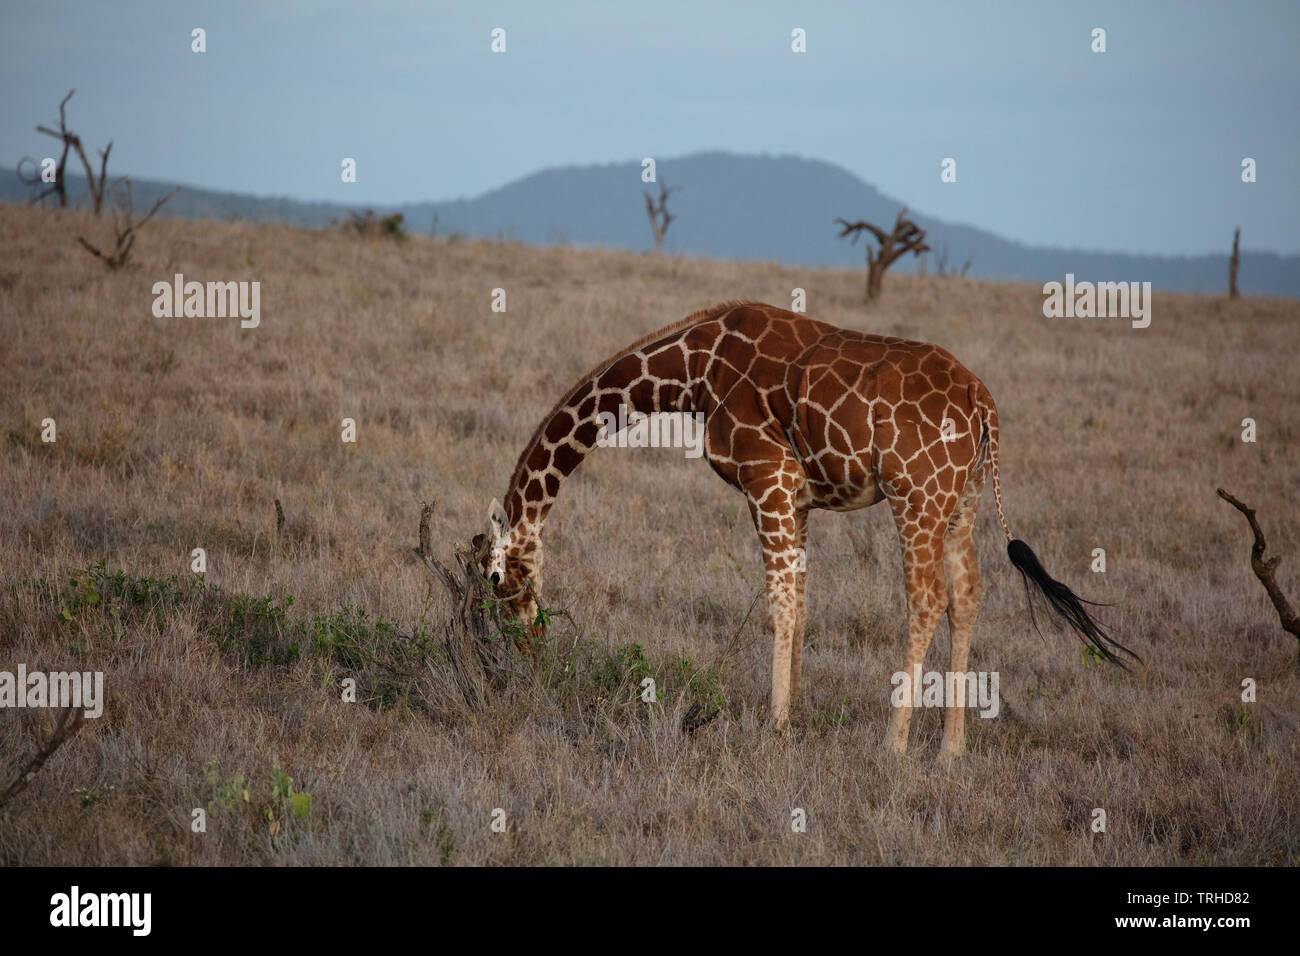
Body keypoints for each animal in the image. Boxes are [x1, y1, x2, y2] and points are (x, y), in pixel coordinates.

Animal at [473, 301, 1139, 755]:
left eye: (496, 580)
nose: (524, 644)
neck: (692, 372)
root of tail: (983, 402)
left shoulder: (766, 480)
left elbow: (779, 602)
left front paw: (775, 724)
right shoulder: (797, 498)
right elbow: (802, 598)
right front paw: (794, 713)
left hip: (916, 494)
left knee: (927, 598)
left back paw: (895, 744)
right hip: (964, 499)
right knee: (969, 594)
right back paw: (951, 749)